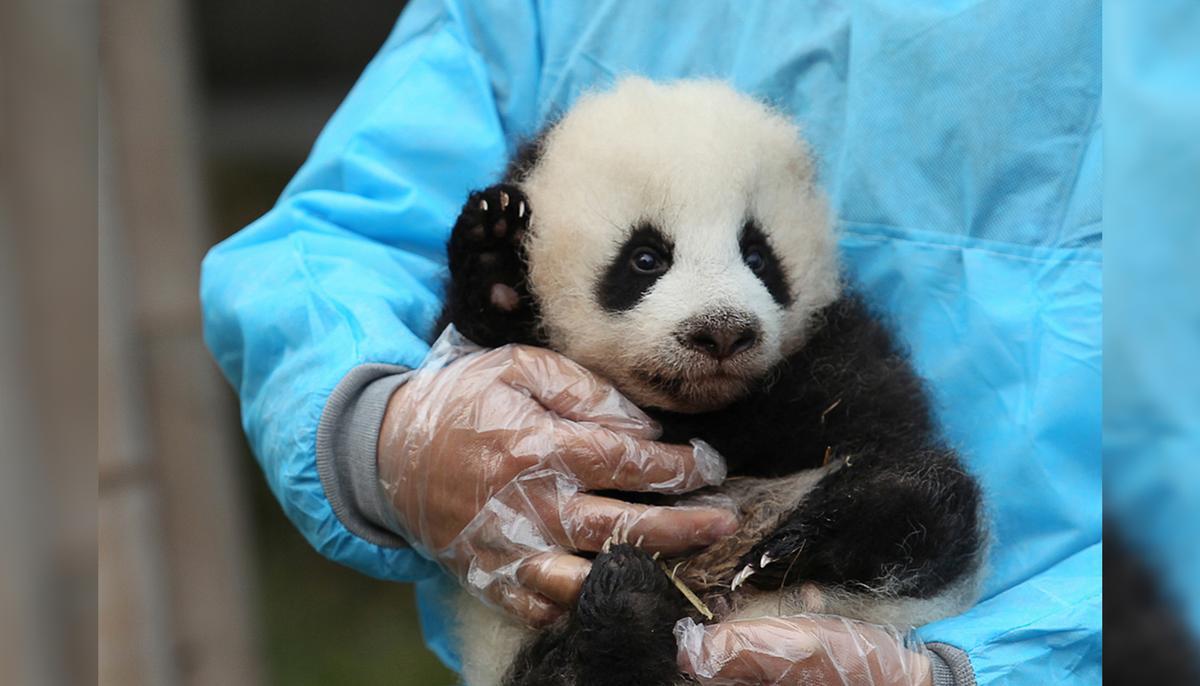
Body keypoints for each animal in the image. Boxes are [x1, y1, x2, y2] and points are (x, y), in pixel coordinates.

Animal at [435, 78, 986, 686]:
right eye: (645, 257)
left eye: (758, 256)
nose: (721, 331)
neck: (699, 413)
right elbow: (476, 345)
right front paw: (495, 250)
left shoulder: (834, 363)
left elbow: (887, 439)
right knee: (578, 672)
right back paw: (629, 596)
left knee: (931, 500)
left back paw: (787, 549)